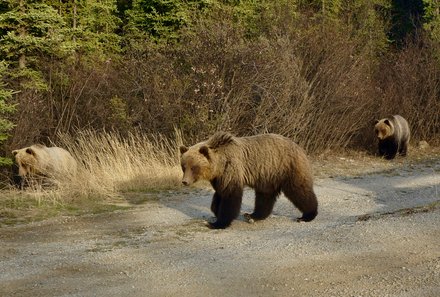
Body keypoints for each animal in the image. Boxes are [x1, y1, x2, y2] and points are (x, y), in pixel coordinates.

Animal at [180, 132, 320, 229]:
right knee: (265, 196)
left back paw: (307, 215)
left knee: (299, 190)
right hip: (268, 174)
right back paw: (253, 215)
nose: (185, 181)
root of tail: (299, 147)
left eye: (194, 167)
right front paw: (215, 210)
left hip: (287, 167)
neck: (219, 164)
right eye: (184, 166)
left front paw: (216, 223)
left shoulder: (232, 169)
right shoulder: (219, 177)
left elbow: (230, 196)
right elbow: (219, 194)